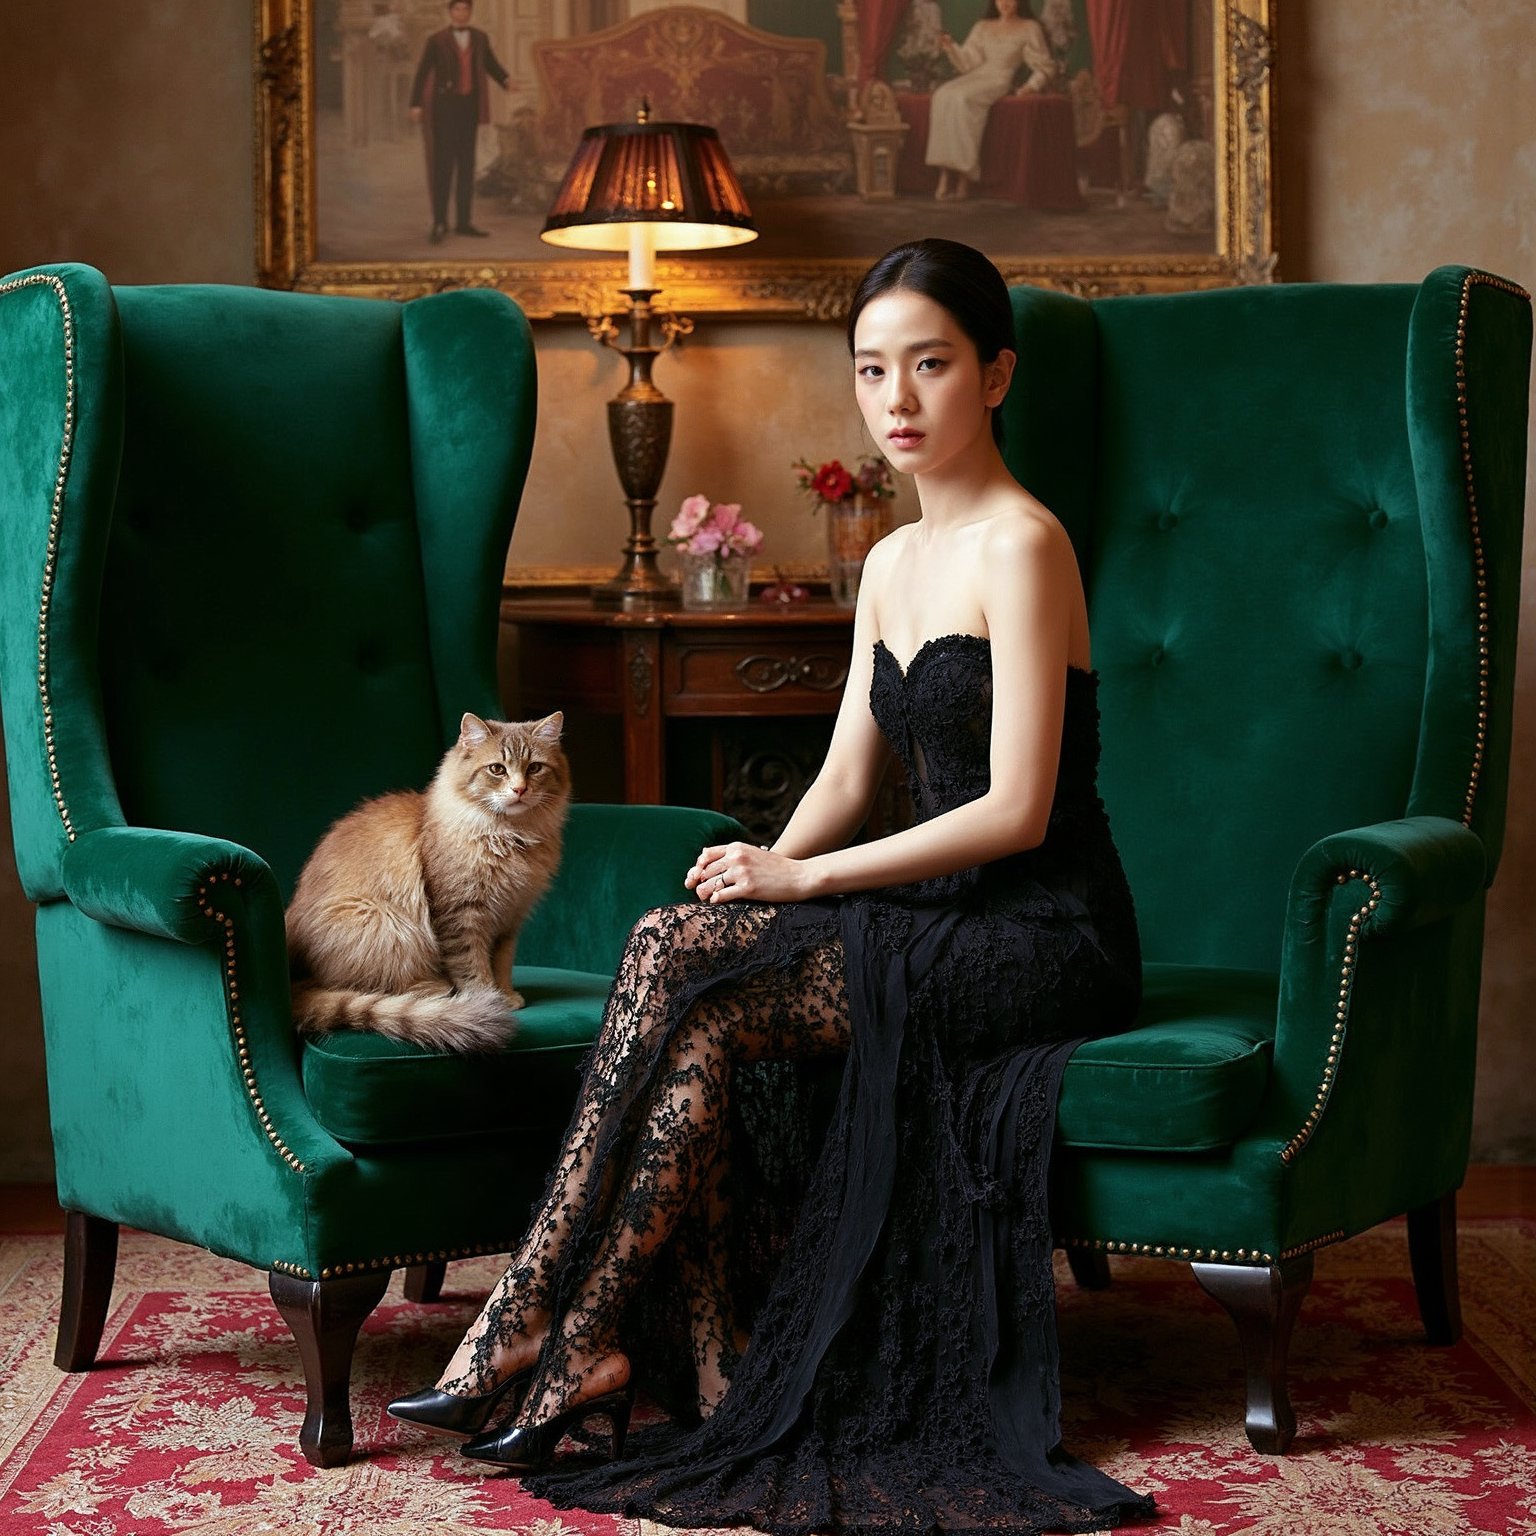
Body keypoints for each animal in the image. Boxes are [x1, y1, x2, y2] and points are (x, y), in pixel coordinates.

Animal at [285, 709, 568, 1050]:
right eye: (497, 769)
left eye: (534, 768)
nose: (520, 790)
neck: (509, 836)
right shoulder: (460, 915)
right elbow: (472, 965)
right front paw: (488, 999)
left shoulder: (509, 920)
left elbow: (501, 964)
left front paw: (506, 994)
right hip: (384, 924)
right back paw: (439, 991)